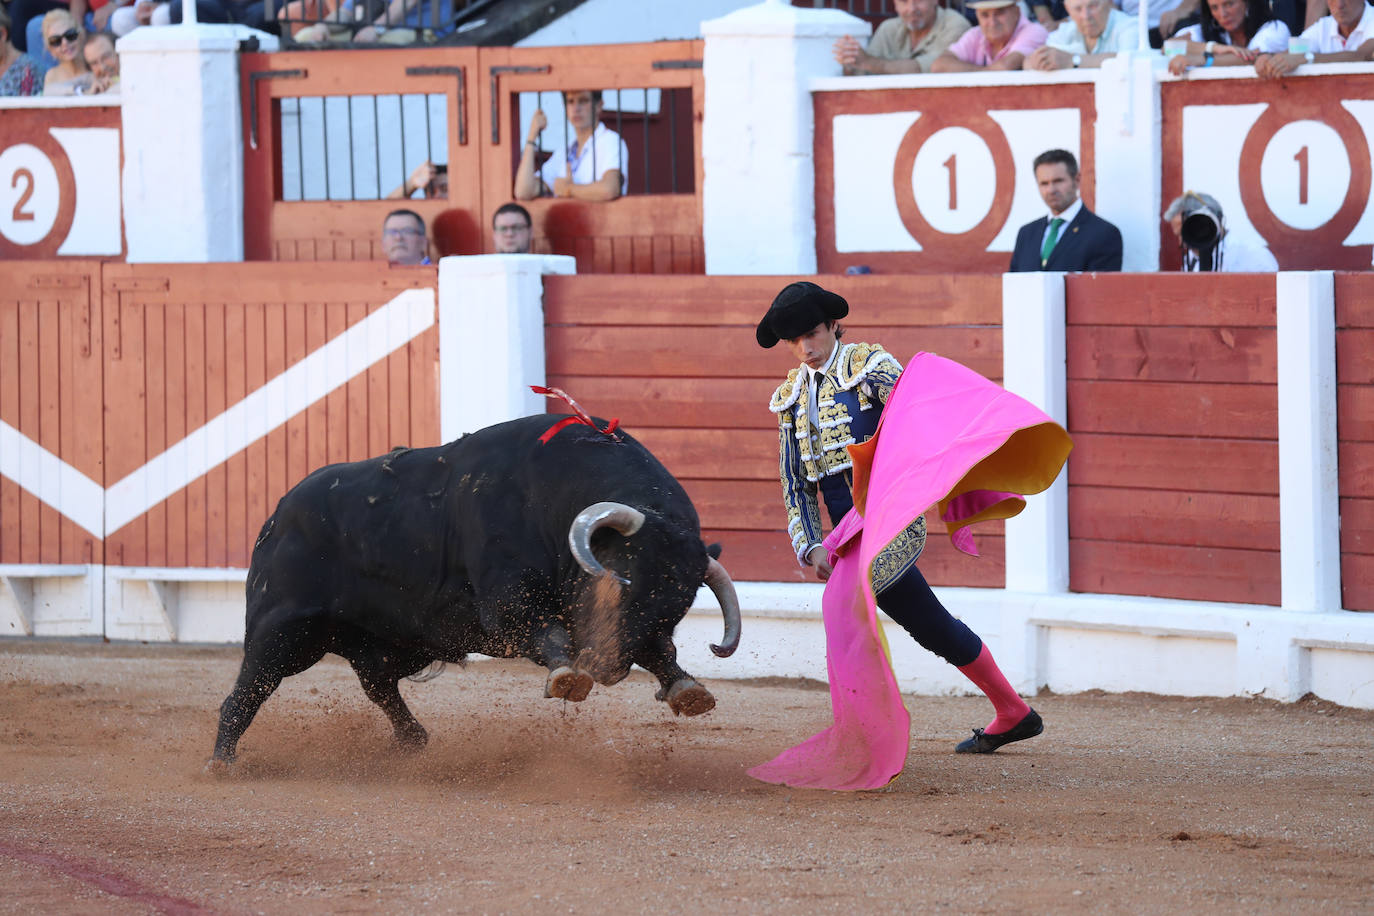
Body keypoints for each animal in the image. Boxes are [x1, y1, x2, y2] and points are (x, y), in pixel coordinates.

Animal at [207, 414, 741, 769]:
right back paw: (223, 761)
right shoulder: (508, 606)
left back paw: (414, 740)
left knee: (378, 686)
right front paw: (569, 678)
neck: (554, 499)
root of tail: (278, 514)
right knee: (248, 690)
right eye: (620, 581)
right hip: (282, 629)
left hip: (384, 642)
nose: (607, 668)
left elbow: (658, 650)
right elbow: (545, 633)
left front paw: (688, 690)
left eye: (679, 606)